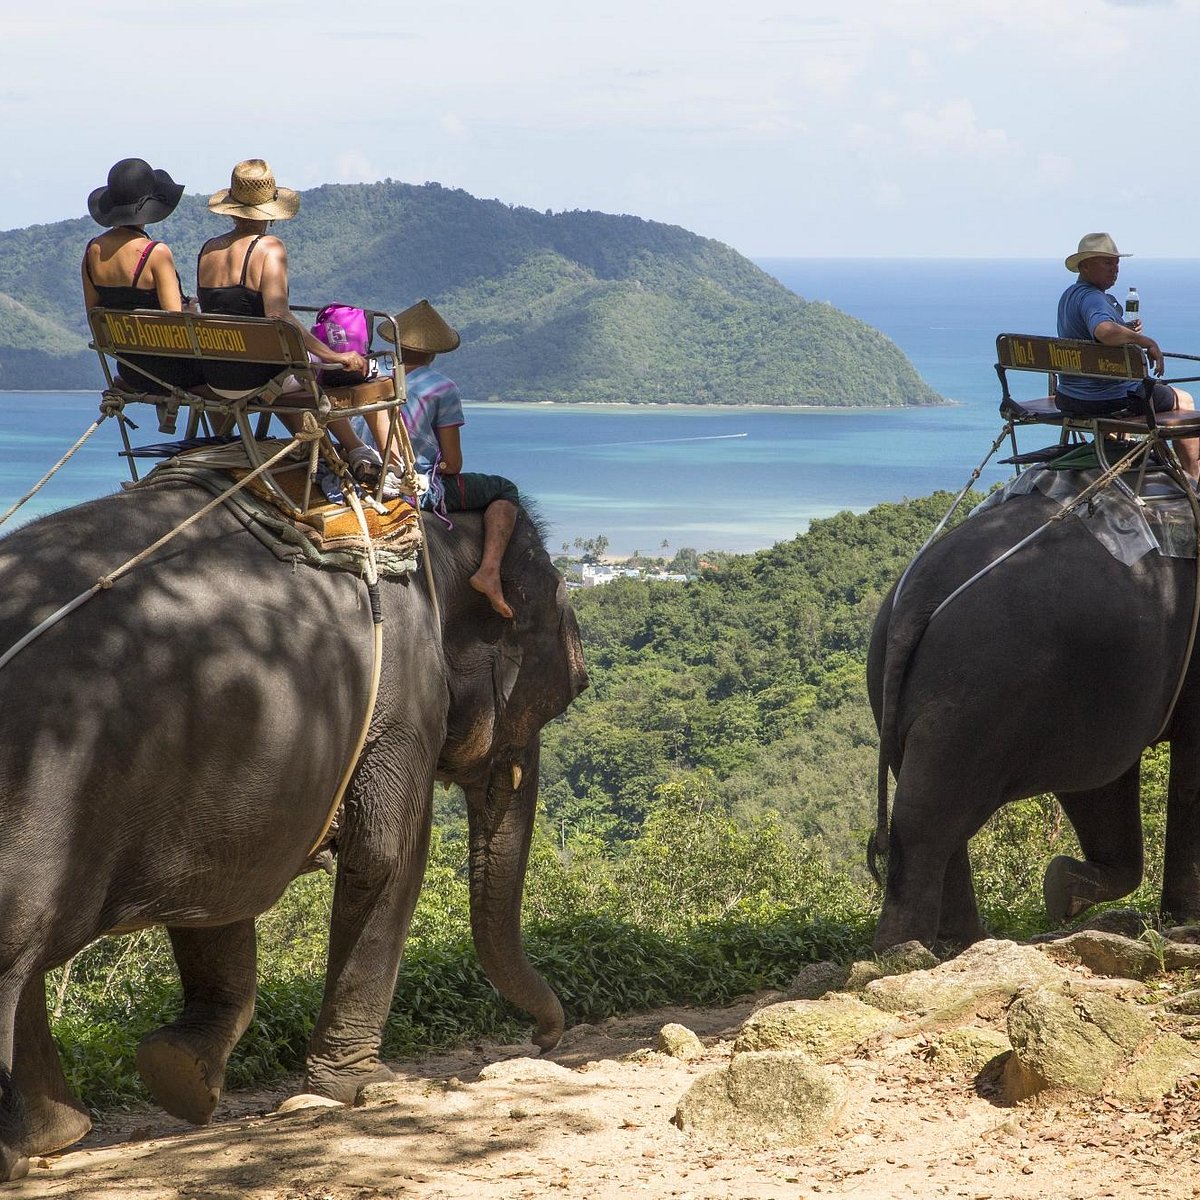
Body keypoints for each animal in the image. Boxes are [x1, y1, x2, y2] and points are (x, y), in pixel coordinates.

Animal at [0, 470, 585, 1180]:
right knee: (15, 950)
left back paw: (55, 1136)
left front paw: (179, 1076)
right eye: (569, 687)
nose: (543, 1040)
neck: (430, 536)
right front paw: (361, 1087)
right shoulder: (402, 702)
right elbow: (388, 856)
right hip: (42, 789)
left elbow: (222, 893)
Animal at [868, 482, 1195, 950]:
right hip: (979, 693)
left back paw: (964, 941)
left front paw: (1062, 889)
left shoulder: (1099, 701)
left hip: (896, 692)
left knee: (937, 812)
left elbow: (1100, 785)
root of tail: (916, 596)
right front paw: (1186, 921)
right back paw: (907, 950)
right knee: (926, 817)